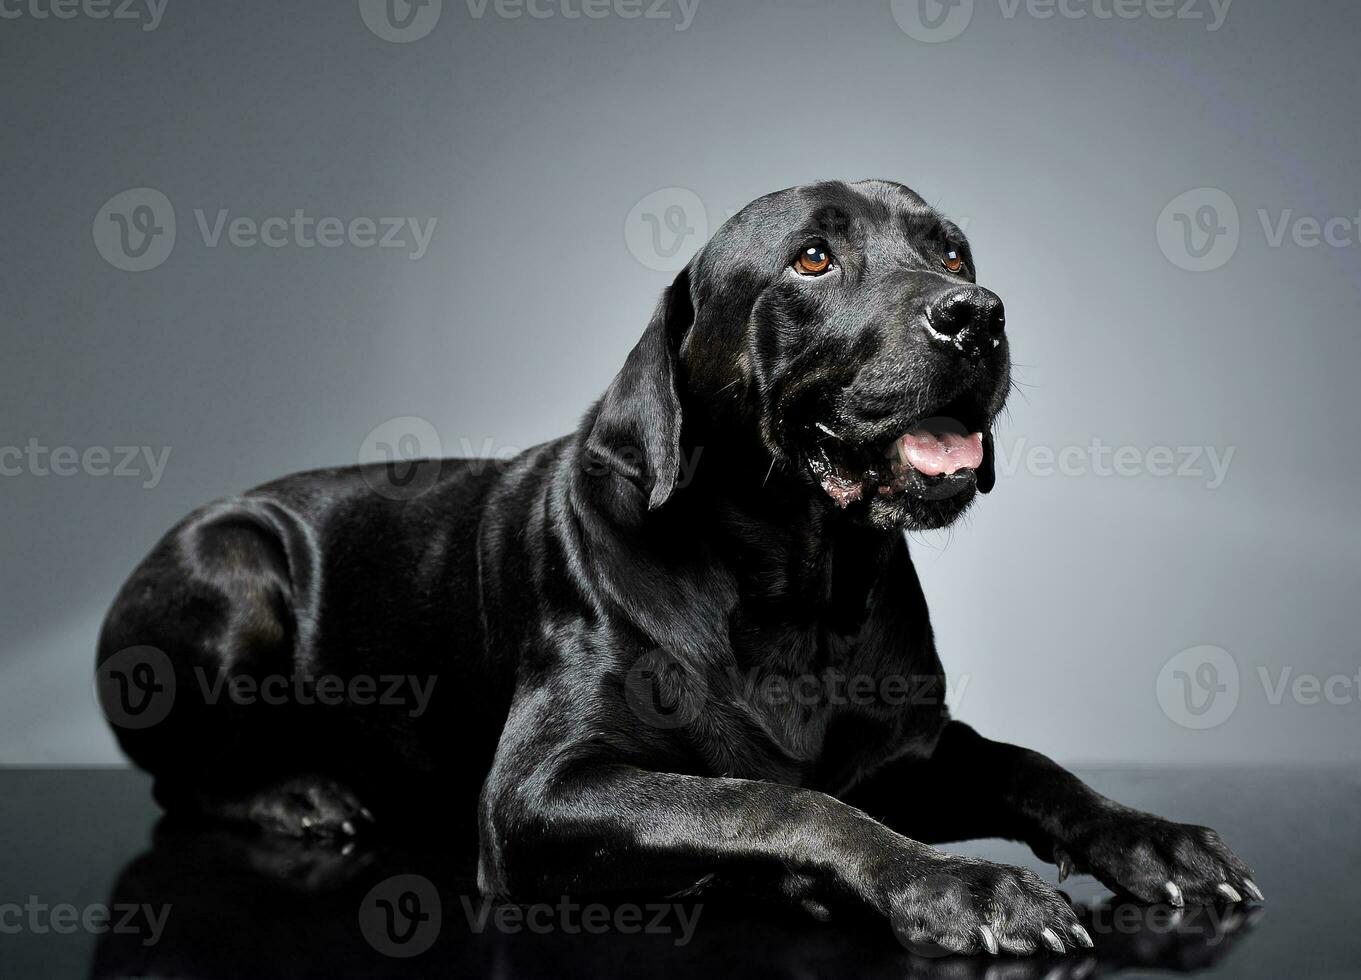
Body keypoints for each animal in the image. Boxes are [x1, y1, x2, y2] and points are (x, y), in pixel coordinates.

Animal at [100, 178, 1257, 958]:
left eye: (954, 253)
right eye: (811, 260)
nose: (974, 314)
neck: (799, 588)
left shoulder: (915, 748)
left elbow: (1027, 764)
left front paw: (1151, 838)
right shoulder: (538, 793)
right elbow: (770, 801)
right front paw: (953, 886)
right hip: (233, 566)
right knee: (177, 775)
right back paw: (295, 793)